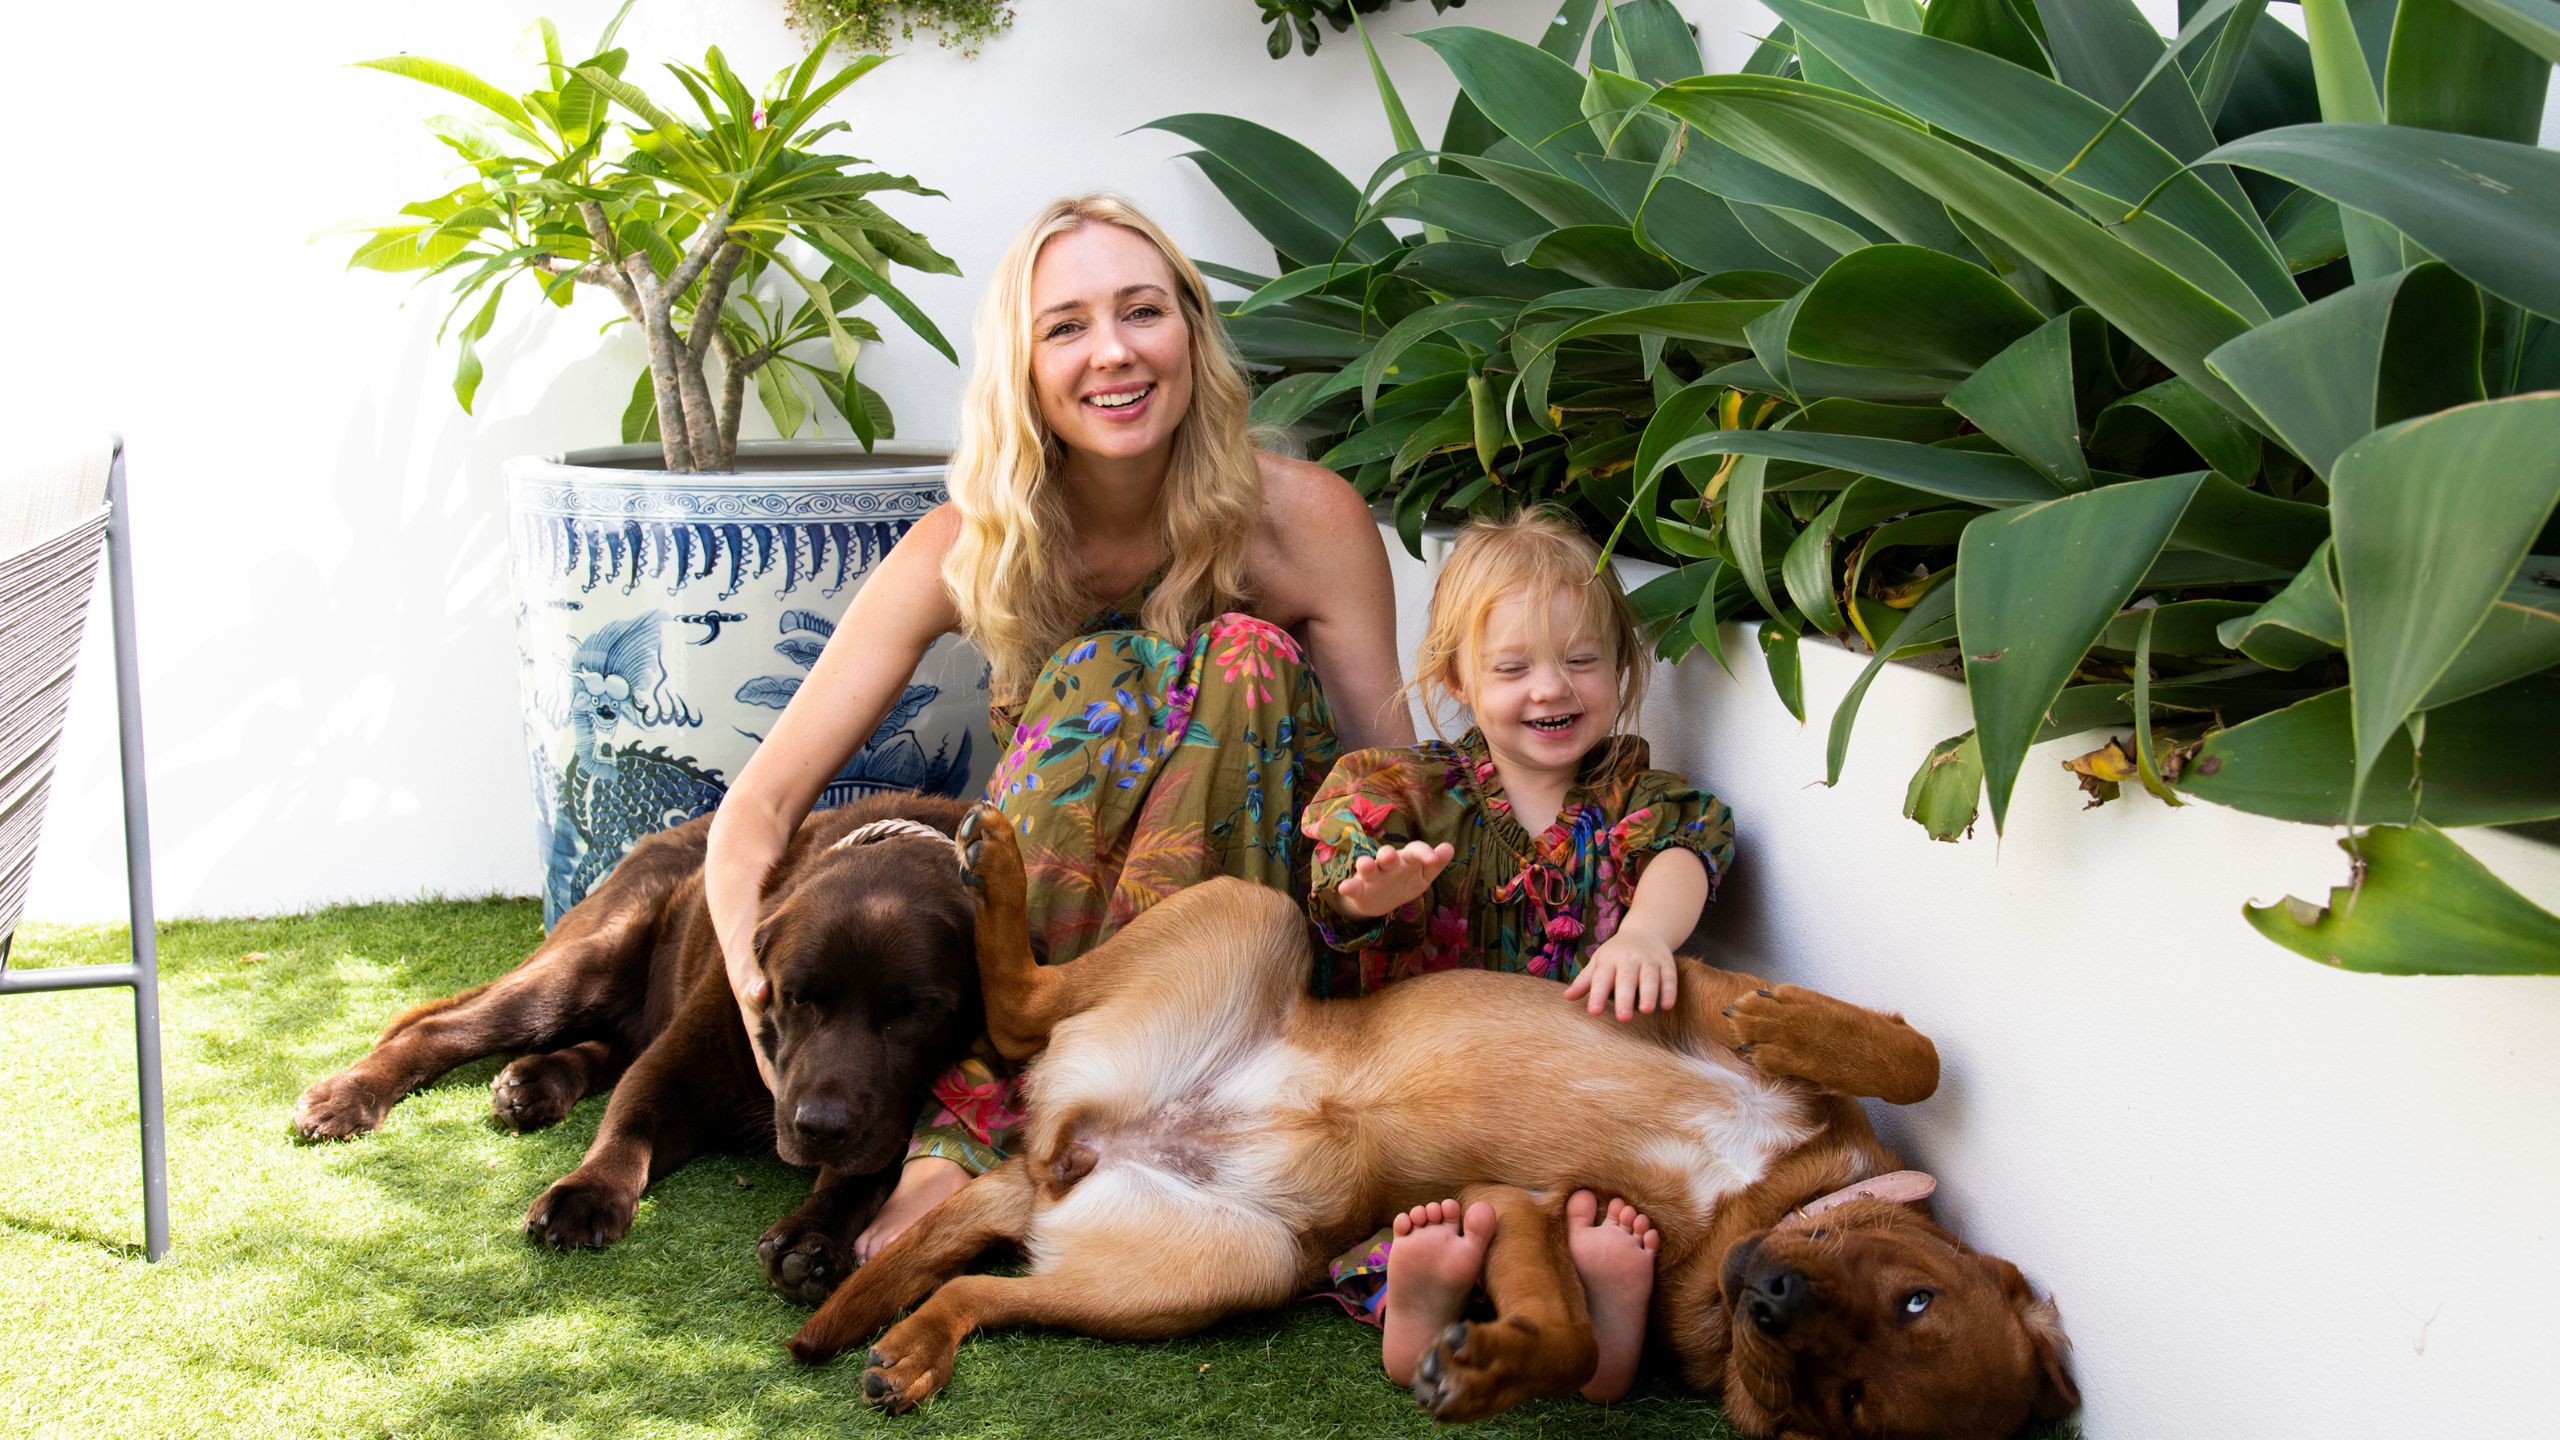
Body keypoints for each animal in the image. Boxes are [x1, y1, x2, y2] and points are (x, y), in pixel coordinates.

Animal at [788, 799, 2068, 1424]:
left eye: (1845, 1399)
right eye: (1916, 1294)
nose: (1770, 1293)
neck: (1756, 1202)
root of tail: (1064, 1147)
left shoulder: (1526, 1209)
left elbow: (1567, 1338)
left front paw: (1488, 1370)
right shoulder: (1701, 994)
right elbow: (1918, 1055)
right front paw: (1793, 1023)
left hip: (1210, 1274)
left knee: (974, 1285)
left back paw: (906, 1352)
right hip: (1248, 910)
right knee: (1016, 1007)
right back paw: (995, 863)